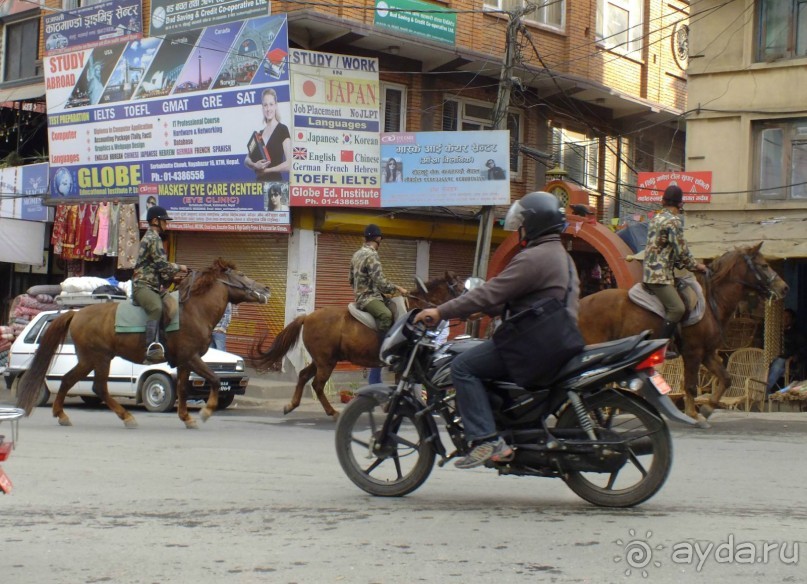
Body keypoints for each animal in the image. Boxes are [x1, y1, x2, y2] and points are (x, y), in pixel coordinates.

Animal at [16, 260, 272, 428]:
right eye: (242, 274)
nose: (266, 289)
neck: (195, 311)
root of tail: (76, 314)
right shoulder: (192, 357)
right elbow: (216, 379)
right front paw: (206, 411)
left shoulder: (184, 362)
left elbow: (181, 388)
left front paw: (187, 417)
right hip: (98, 358)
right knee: (97, 386)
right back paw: (125, 417)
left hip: (91, 360)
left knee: (71, 380)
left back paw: (62, 415)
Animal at [252, 272, 468, 418]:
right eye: (460, 288)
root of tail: (307, 316)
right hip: (326, 362)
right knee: (317, 384)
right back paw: (332, 412)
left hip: (321, 360)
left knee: (304, 375)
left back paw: (292, 405)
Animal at [580, 242, 788, 424]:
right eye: (764, 265)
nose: (784, 287)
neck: (711, 302)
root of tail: (582, 303)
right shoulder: (693, 352)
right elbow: (690, 385)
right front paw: (693, 414)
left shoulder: (707, 353)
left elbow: (726, 379)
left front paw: (707, 408)